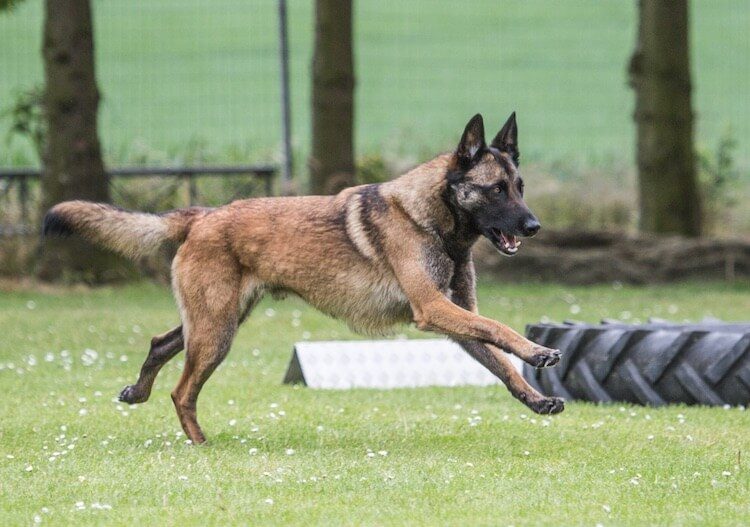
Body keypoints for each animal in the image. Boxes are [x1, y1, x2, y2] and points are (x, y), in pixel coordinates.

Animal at [44, 112, 564, 446]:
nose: (535, 226)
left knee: (159, 344)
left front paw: (536, 399)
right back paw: (199, 443)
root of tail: (202, 215)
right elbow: (500, 328)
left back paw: (138, 392)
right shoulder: (435, 310)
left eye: (520, 187)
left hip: (215, 320)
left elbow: (498, 359)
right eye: (496, 189)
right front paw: (538, 351)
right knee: (182, 390)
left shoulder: (456, 317)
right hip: (216, 332)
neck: (432, 218)